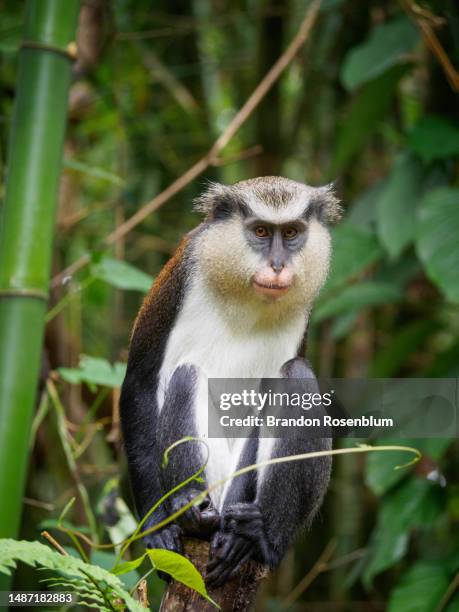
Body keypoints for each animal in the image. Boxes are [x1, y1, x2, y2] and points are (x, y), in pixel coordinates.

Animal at [120, 175, 344, 584]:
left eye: (291, 232)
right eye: (260, 231)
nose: (277, 265)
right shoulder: (176, 279)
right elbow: (141, 385)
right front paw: (158, 528)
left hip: (238, 492)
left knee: (296, 376)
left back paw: (255, 537)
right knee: (187, 374)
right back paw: (191, 512)